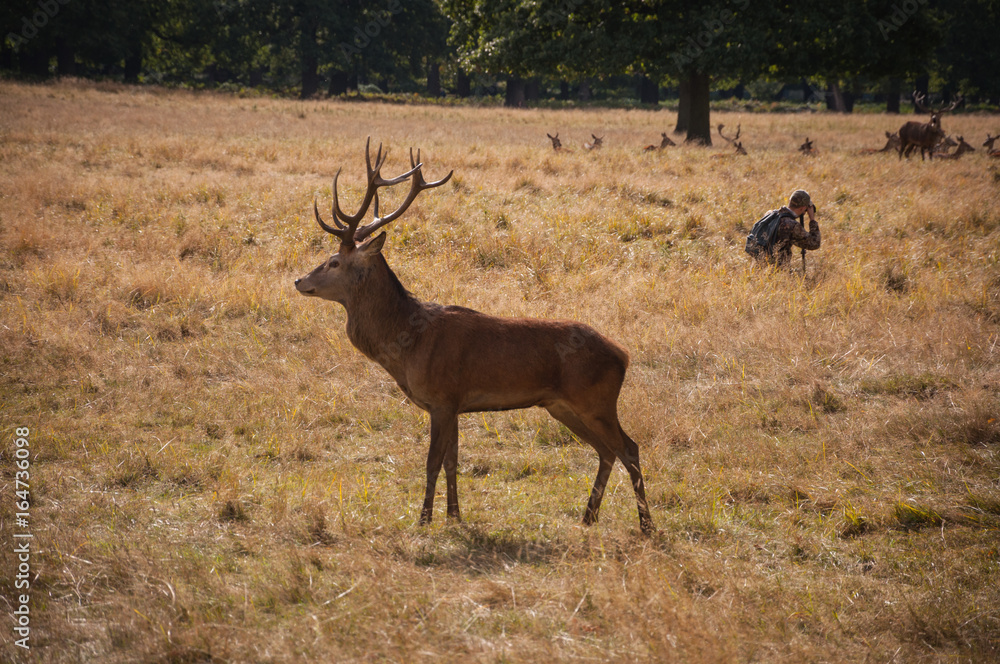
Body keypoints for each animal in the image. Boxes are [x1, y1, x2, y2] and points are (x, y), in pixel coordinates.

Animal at [294, 139, 654, 535]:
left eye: (334, 262)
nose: (299, 280)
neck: (407, 347)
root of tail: (623, 355)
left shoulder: (442, 397)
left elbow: (433, 461)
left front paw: (423, 519)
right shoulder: (456, 403)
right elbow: (453, 460)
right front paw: (454, 515)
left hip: (596, 399)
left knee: (629, 448)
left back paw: (646, 524)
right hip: (562, 405)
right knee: (606, 450)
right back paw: (588, 516)